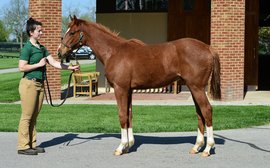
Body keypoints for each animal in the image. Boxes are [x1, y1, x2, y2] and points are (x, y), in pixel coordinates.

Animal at [58, 16, 220, 158]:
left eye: (72, 32)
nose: (60, 52)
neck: (114, 52)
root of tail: (207, 48)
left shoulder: (120, 89)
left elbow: (122, 115)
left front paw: (120, 147)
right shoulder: (128, 90)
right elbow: (129, 115)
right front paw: (129, 145)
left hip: (197, 87)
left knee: (206, 110)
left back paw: (207, 149)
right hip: (194, 88)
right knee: (199, 113)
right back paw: (196, 147)